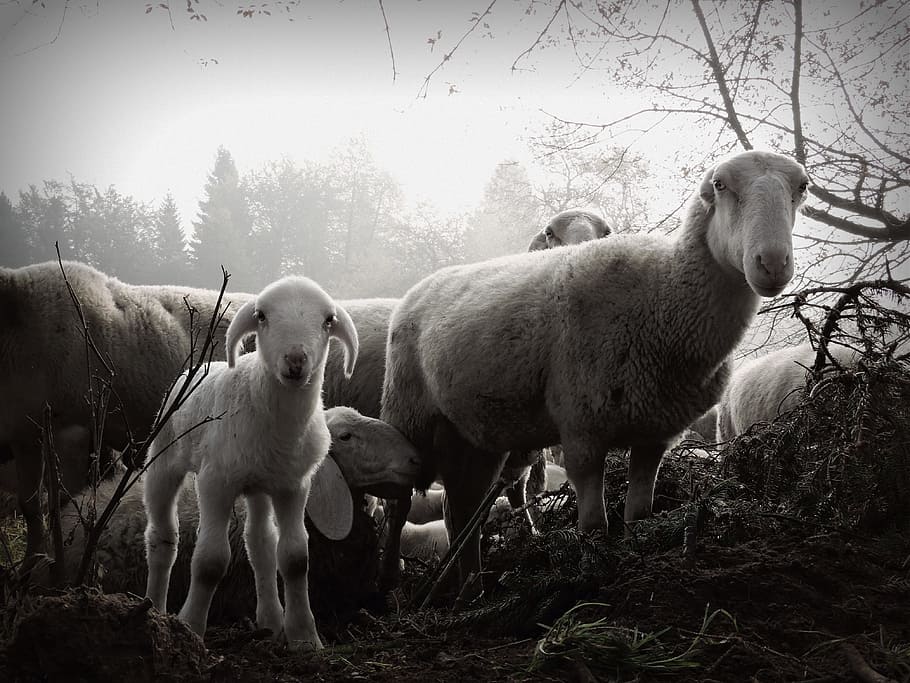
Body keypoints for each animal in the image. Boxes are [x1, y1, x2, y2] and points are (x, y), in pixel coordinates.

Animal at [143, 276, 358, 650]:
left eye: (328, 320)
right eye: (261, 316)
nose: (296, 359)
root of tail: (199, 367)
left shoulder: (293, 486)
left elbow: (295, 558)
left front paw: (305, 637)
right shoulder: (216, 482)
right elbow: (210, 562)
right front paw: (191, 627)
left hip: (259, 485)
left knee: (260, 543)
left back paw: (270, 622)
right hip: (163, 460)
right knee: (162, 537)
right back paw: (155, 611)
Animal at [381, 150, 808, 590]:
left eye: (802, 187)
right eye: (720, 185)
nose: (772, 263)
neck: (664, 292)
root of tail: (419, 288)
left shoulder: (654, 432)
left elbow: (638, 516)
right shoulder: (583, 428)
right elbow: (594, 526)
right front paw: (592, 576)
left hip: (477, 434)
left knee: (461, 510)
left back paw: (472, 588)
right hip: (409, 414)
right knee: (398, 507)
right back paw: (390, 581)